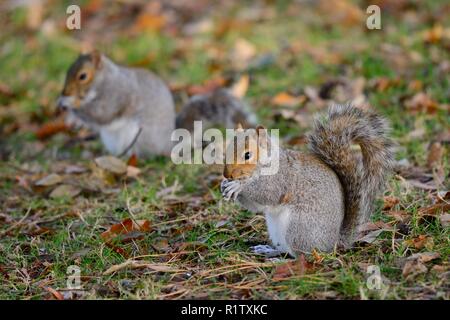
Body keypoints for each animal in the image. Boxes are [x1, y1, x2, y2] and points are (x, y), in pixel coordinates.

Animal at [221, 106, 394, 256]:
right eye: (226, 151)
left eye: (247, 155)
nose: (227, 174)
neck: (267, 162)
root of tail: (333, 243)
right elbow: (255, 206)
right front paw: (225, 185)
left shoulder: (280, 179)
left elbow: (267, 194)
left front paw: (239, 186)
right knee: (285, 250)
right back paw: (269, 250)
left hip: (298, 229)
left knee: (302, 255)